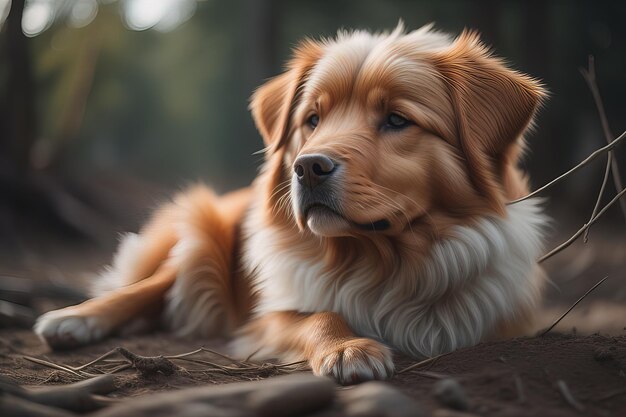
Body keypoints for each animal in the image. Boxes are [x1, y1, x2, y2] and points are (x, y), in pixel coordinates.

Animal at [33, 25, 544, 384]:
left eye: (397, 120)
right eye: (312, 119)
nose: (308, 167)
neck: (381, 261)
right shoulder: (267, 317)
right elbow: (317, 313)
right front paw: (346, 346)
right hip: (205, 236)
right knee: (154, 286)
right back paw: (74, 319)